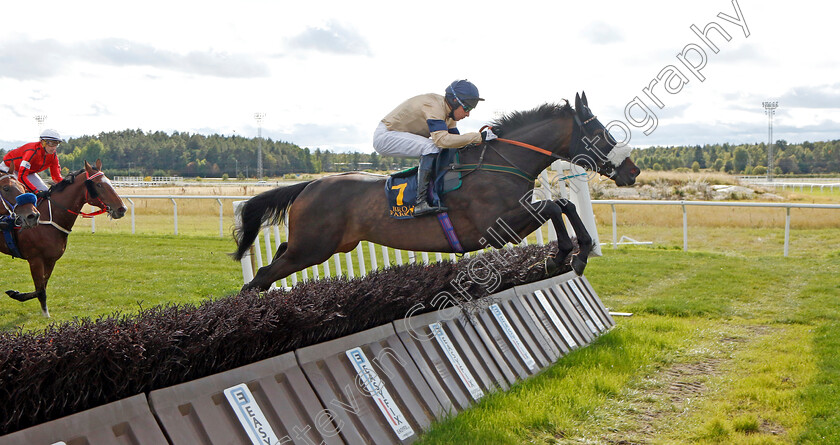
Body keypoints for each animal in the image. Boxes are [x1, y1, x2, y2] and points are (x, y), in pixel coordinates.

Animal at [0, 160, 126, 316]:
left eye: (109, 182)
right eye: (99, 185)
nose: (122, 208)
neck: (49, 220)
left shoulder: (50, 260)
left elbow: (41, 288)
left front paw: (17, 294)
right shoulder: (35, 260)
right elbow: (40, 291)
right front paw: (45, 315)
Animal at [233, 92, 640, 292]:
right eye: (601, 132)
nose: (633, 171)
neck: (501, 161)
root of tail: (310, 184)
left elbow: (564, 204)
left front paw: (577, 253)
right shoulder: (495, 226)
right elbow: (555, 207)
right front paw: (566, 255)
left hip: (319, 245)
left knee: (276, 260)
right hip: (313, 248)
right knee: (263, 274)